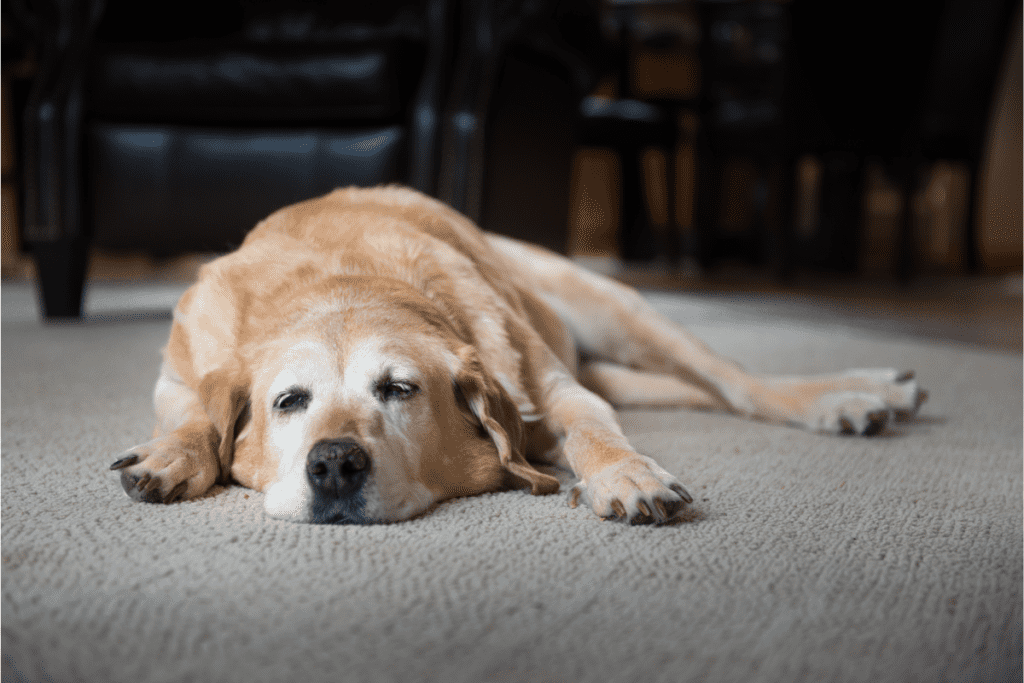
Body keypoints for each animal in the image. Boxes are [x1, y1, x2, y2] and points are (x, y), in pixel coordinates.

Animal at [110, 184, 929, 528]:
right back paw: (878, 390)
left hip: (617, 309)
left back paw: (848, 396)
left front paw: (626, 476)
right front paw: (172, 456)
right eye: (289, 402)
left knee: (736, 384)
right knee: (695, 392)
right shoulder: (176, 375)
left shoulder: (556, 390)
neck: (344, 279)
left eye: (399, 389)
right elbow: (195, 415)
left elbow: (593, 430)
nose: (335, 463)